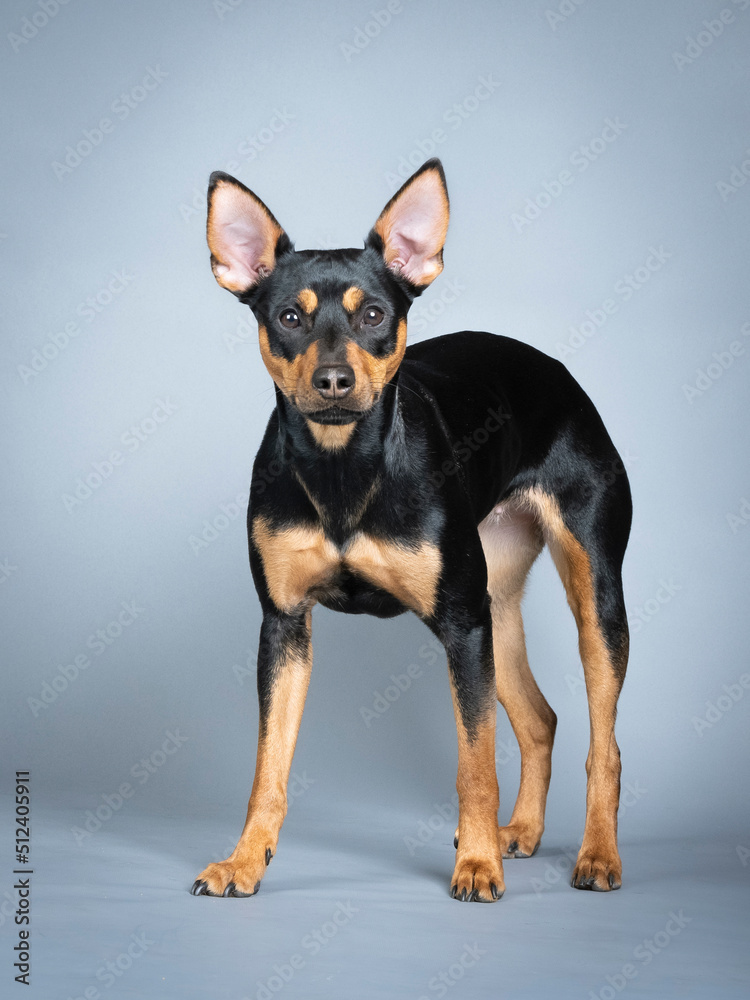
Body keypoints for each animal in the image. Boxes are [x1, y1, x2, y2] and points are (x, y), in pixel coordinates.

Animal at [191, 160, 632, 904]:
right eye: (289, 318)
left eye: (374, 315)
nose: (333, 380)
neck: (344, 470)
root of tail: (555, 371)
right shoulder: (284, 625)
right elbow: (268, 769)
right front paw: (244, 861)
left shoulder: (459, 624)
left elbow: (474, 762)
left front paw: (475, 867)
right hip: (497, 609)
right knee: (540, 720)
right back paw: (523, 831)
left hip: (591, 600)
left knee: (606, 745)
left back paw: (596, 854)